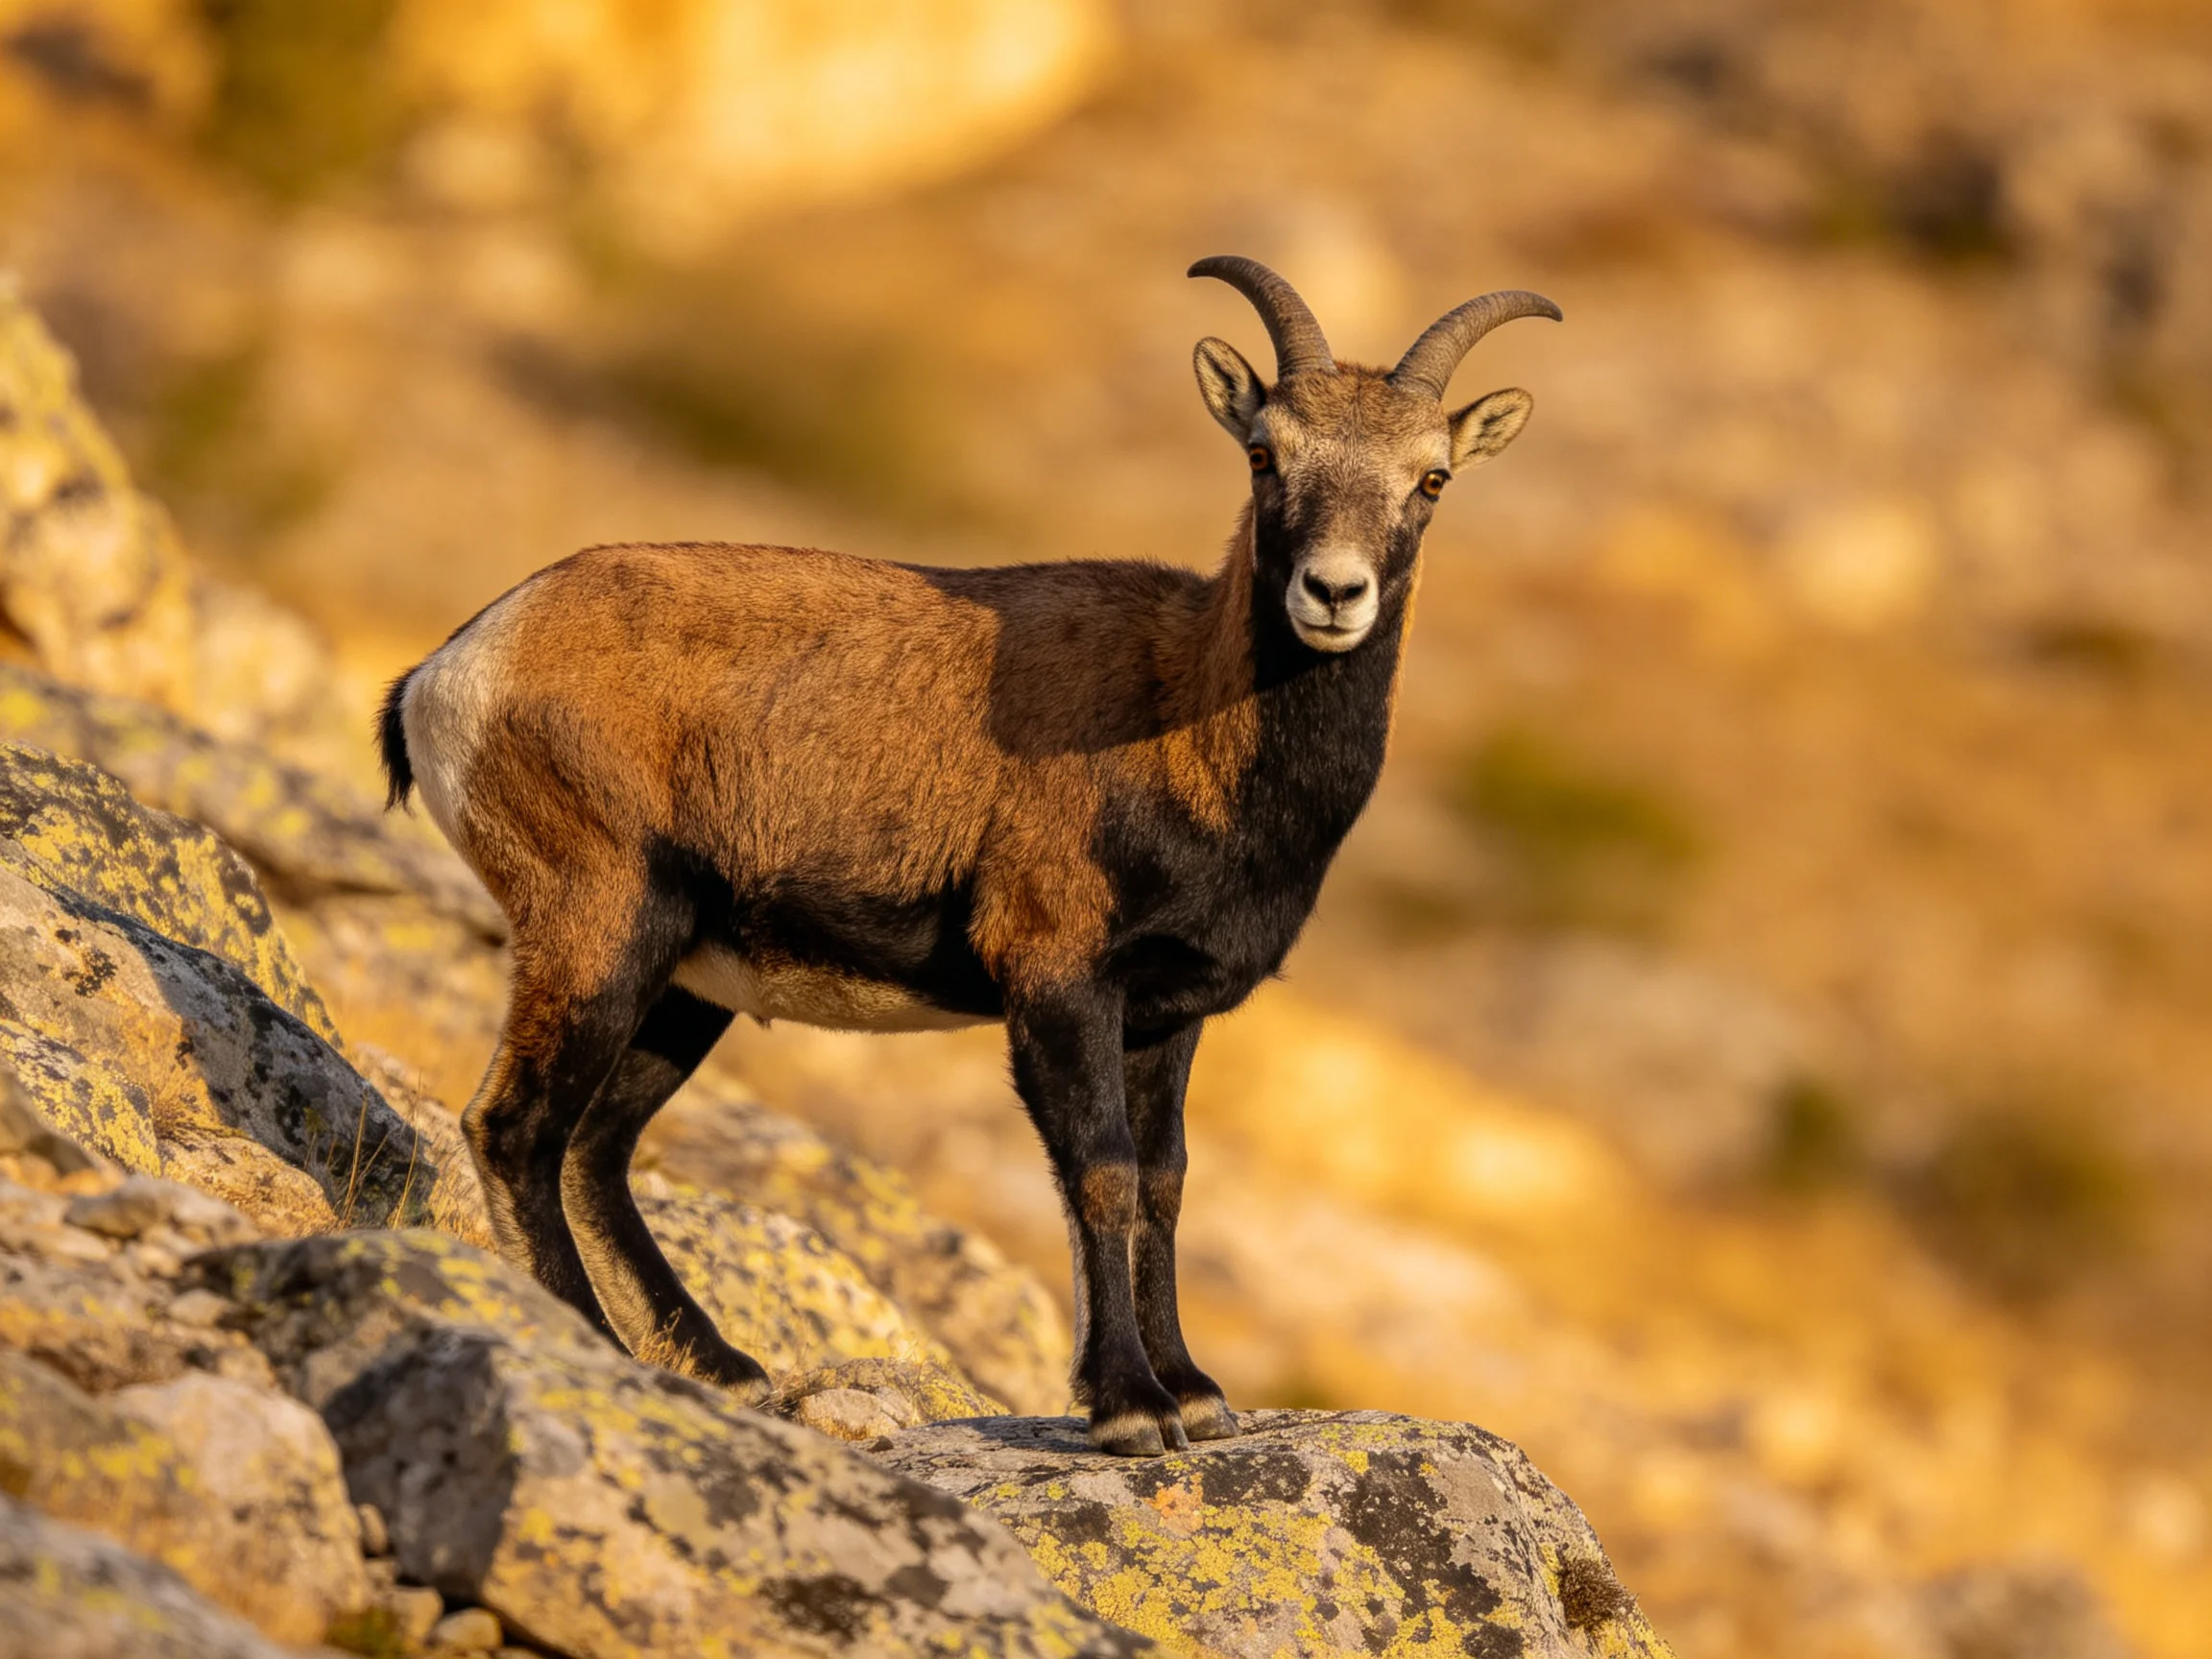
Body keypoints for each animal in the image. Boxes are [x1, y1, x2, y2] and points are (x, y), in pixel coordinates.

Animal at [378, 257, 1559, 1455]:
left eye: (1431, 478)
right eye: (1266, 453)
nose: (1333, 593)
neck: (1189, 723)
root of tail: (455, 666)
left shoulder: (1165, 1015)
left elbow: (1167, 1180)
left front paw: (1194, 1391)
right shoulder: (1055, 976)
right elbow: (1101, 1173)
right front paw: (1129, 1408)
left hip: (686, 983)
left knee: (597, 1146)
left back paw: (725, 1366)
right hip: (601, 929)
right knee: (517, 1128)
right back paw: (600, 1346)